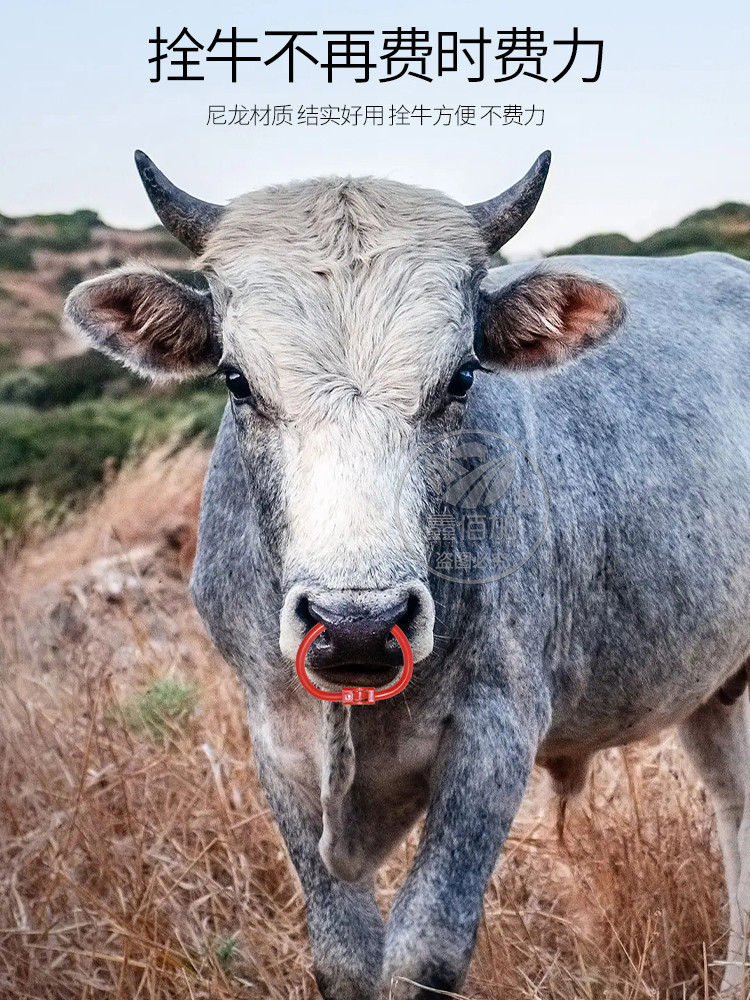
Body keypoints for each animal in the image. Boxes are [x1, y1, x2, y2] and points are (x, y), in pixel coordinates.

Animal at [60, 150, 750, 1000]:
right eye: (236, 380)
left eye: (461, 378)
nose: (356, 626)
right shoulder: (275, 740)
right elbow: (344, 953)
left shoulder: (493, 733)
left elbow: (426, 948)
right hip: (714, 690)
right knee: (734, 804)